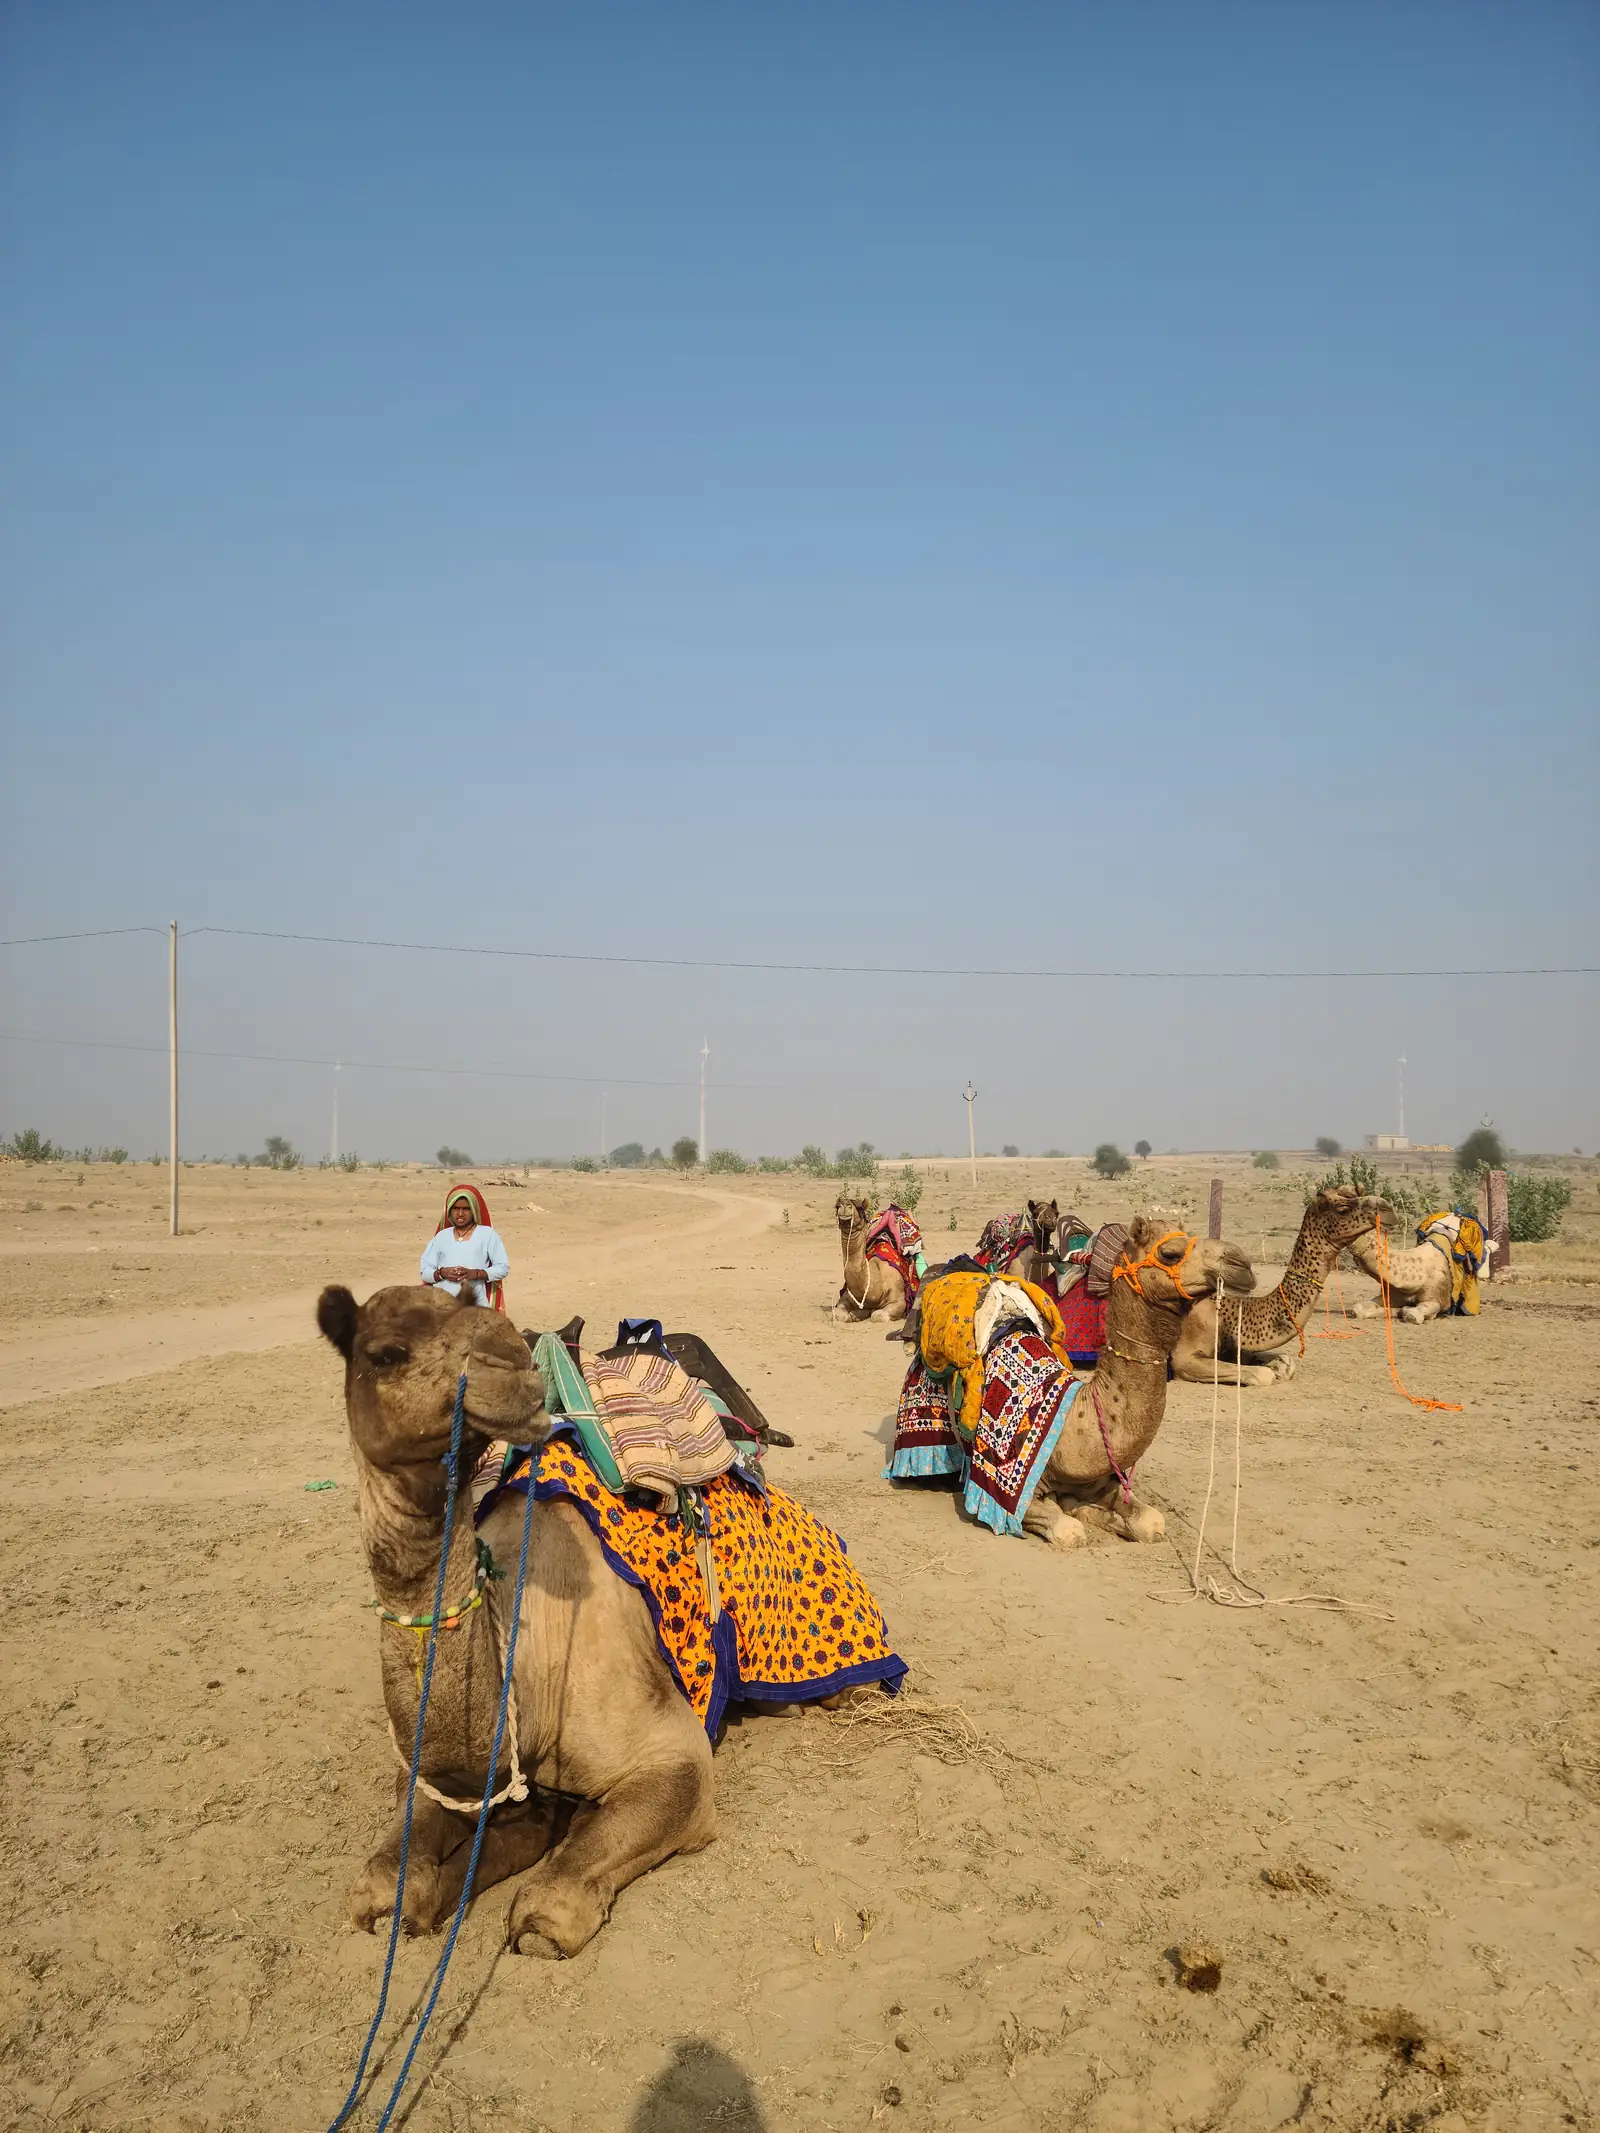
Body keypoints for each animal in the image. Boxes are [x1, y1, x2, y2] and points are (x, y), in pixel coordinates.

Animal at [319, 1282, 722, 1958]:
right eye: (386, 1353)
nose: (512, 1364)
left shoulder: (675, 1756)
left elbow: (550, 1908)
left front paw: (538, 1920)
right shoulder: (443, 1775)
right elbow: (384, 1883)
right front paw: (409, 1900)